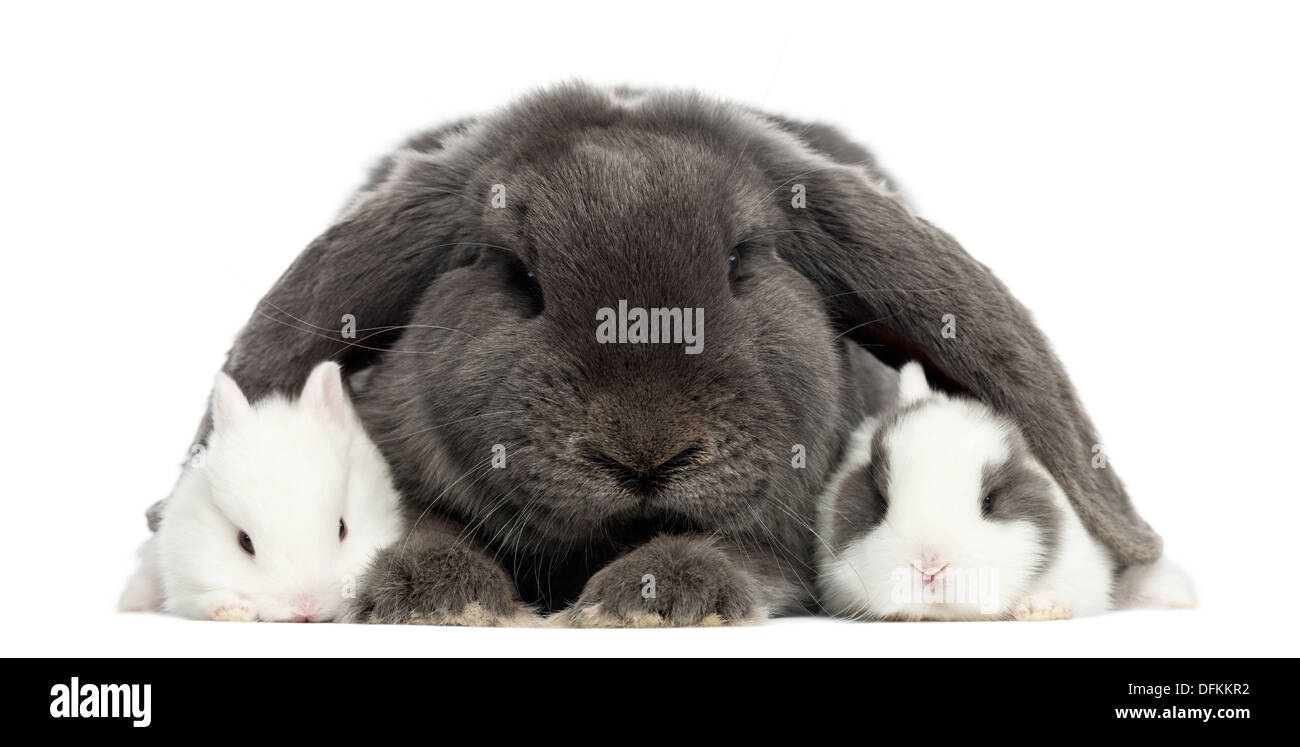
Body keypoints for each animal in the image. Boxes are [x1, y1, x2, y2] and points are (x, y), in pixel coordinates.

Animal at [119, 361, 405, 621]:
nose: (306, 608)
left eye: (342, 528)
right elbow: (201, 598)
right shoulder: (185, 576)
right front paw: (232, 610)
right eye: (244, 541)